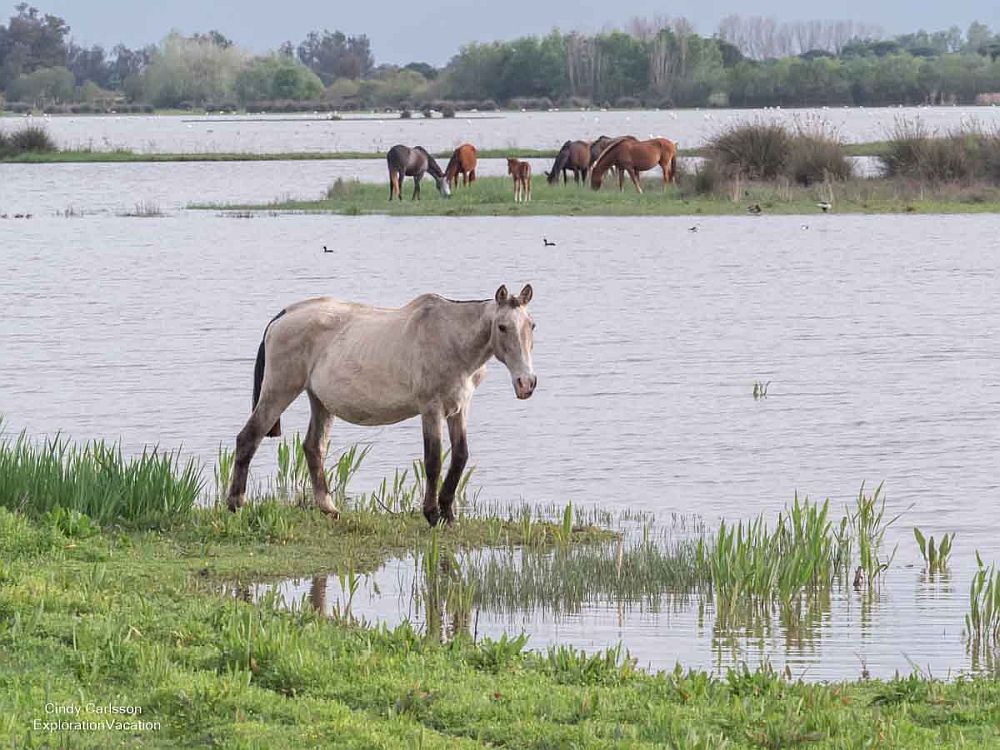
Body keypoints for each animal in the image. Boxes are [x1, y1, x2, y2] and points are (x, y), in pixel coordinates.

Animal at [228, 284, 540, 524]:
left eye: (532, 325)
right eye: (502, 327)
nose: (526, 383)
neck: (451, 339)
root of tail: (285, 314)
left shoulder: (459, 408)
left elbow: (460, 457)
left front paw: (448, 513)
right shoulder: (431, 408)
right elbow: (433, 461)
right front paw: (431, 514)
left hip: (320, 401)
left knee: (314, 447)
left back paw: (329, 508)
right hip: (279, 391)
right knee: (248, 438)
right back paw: (235, 503)